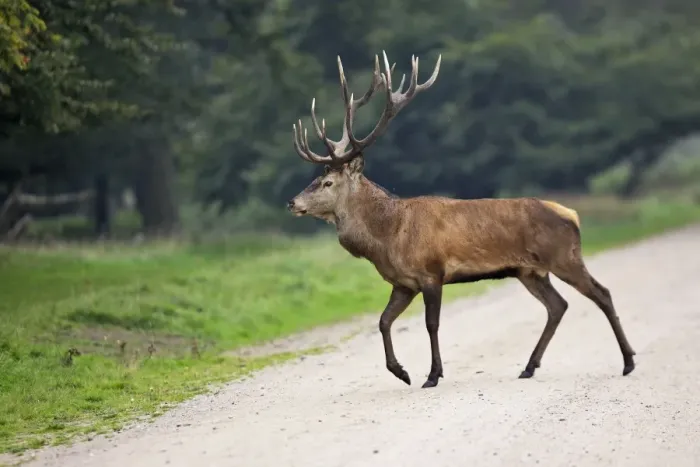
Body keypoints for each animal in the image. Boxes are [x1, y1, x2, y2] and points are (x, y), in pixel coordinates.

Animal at [287, 50, 636, 389]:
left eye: (327, 182)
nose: (292, 202)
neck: (388, 236)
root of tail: (571, 214)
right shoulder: (403, 283)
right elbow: (383, 321)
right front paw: (401, 372)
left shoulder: (431, 273)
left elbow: (431, 324)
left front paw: (432, 375)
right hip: (530, 271)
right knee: (558, 305)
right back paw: (529, 367)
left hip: (564, 256)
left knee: (601, 293)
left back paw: (628, 361)